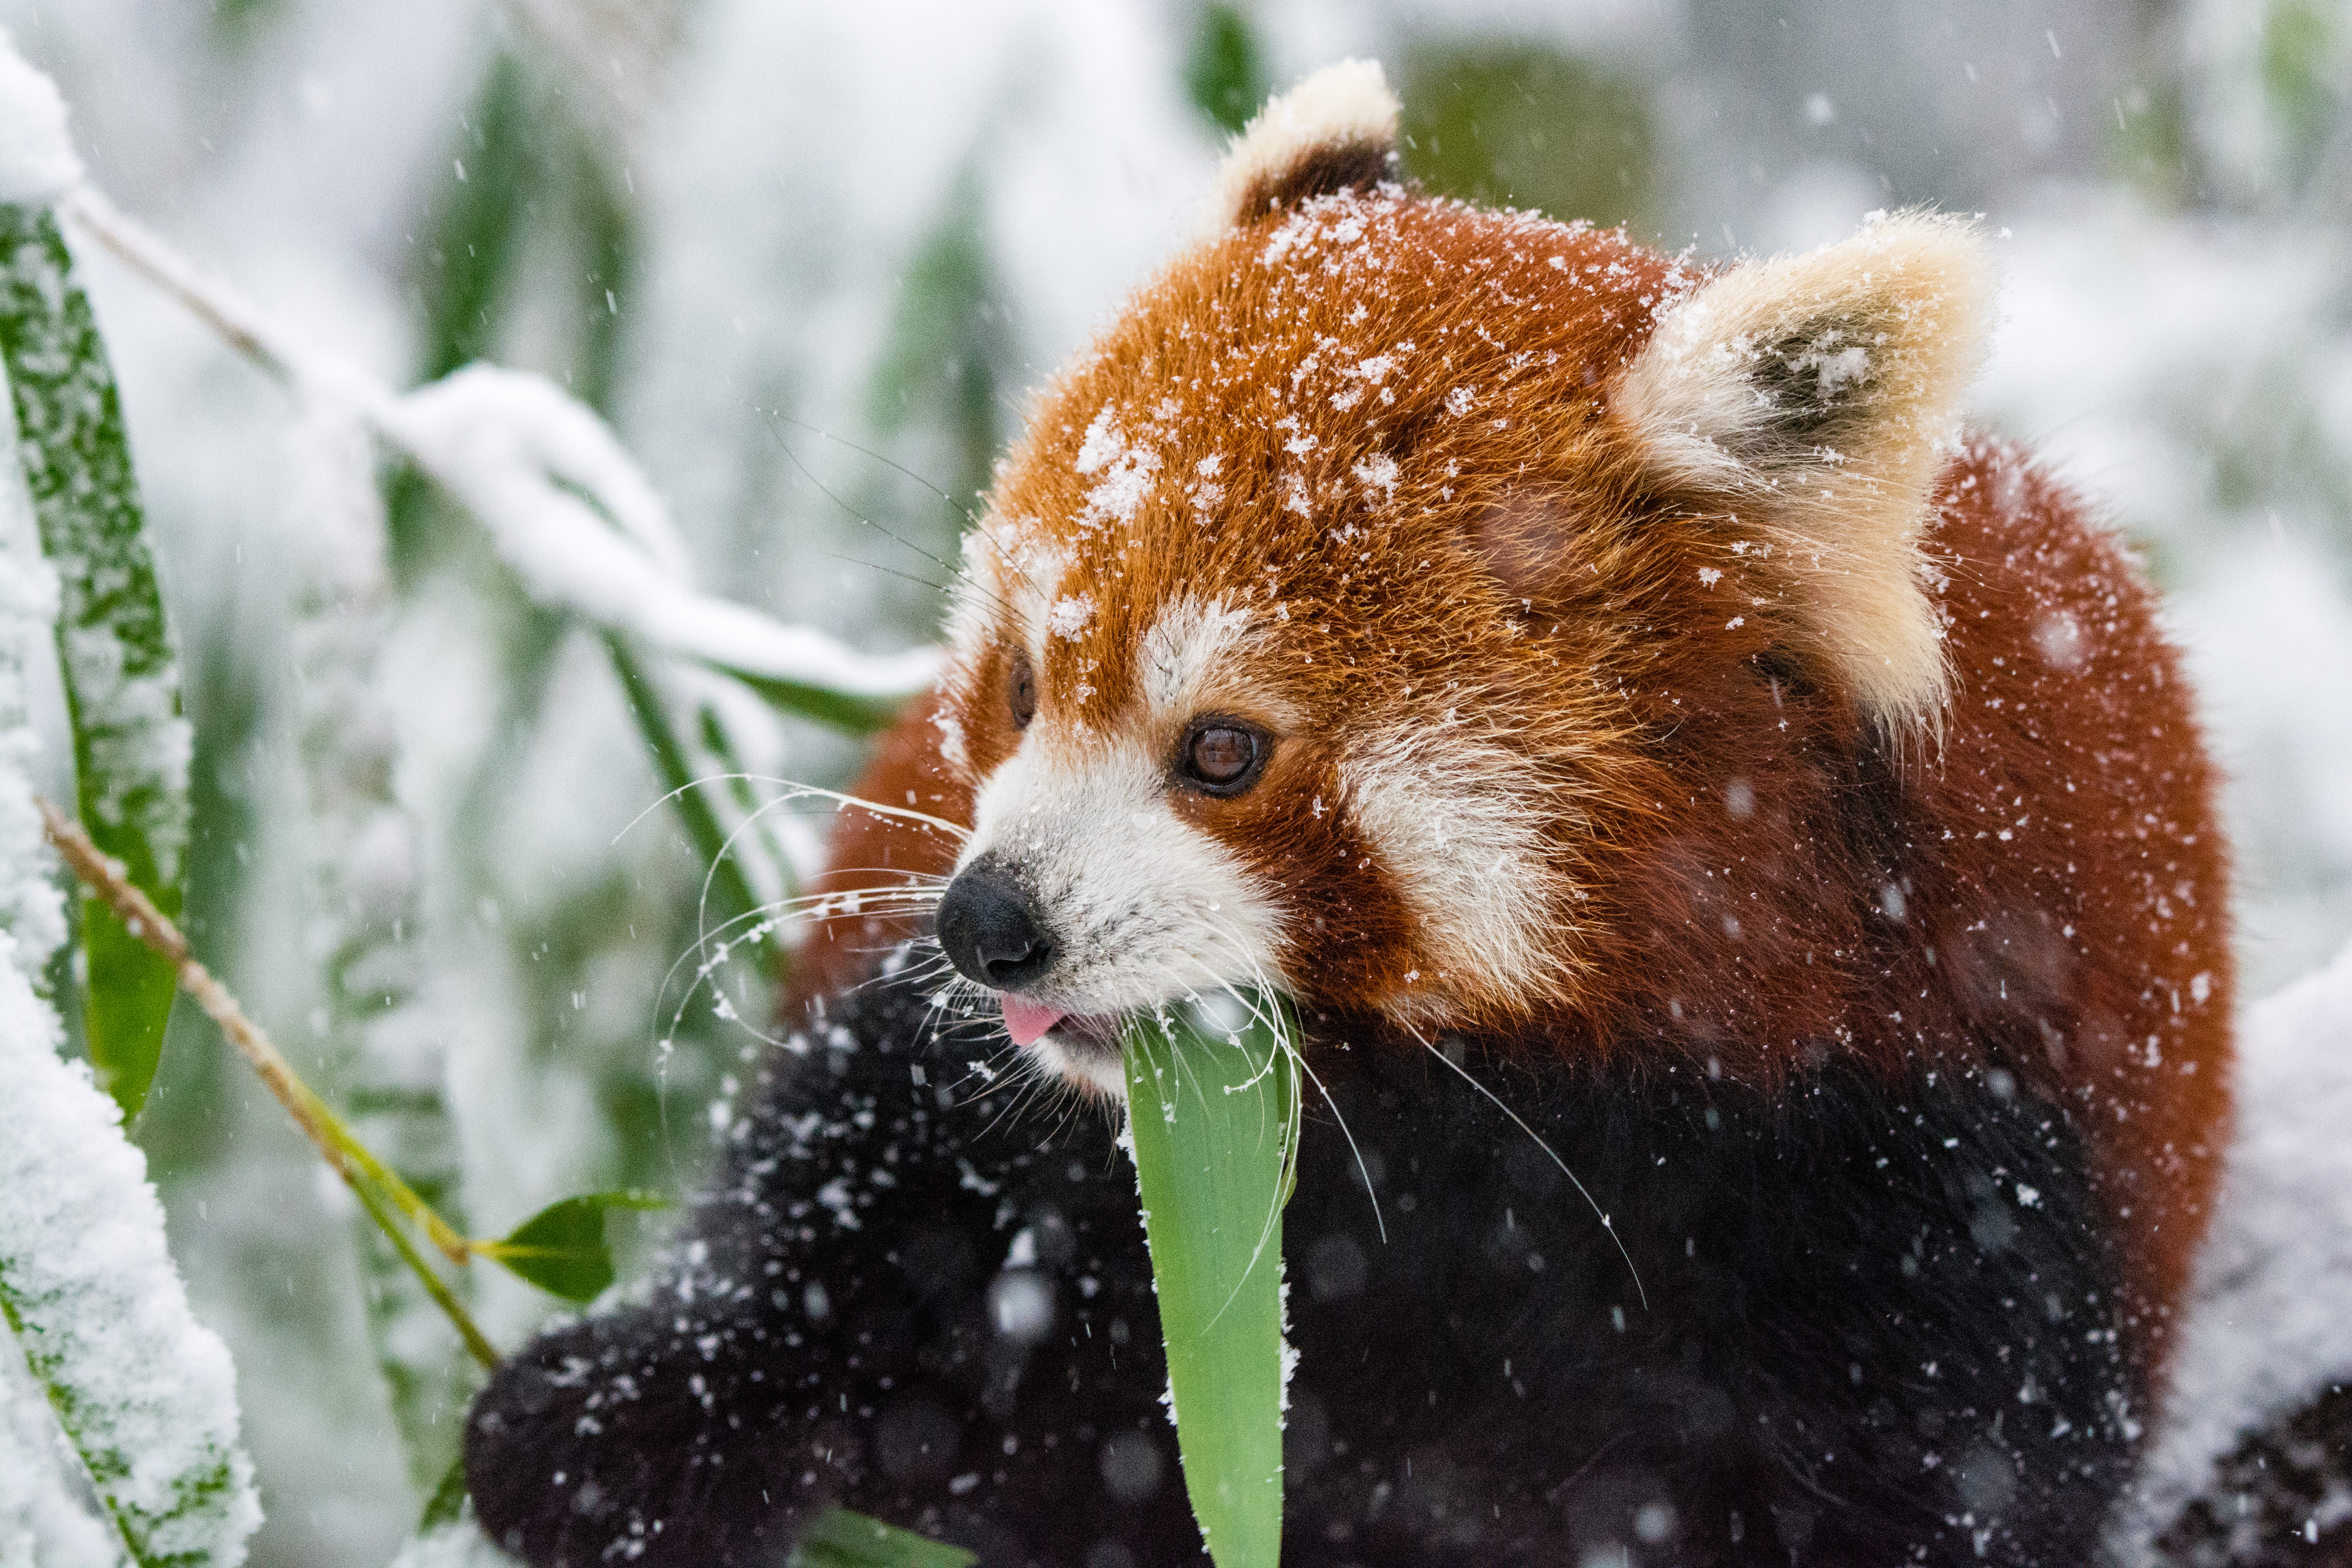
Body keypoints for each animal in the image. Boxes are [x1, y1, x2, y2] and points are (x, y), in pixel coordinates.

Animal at [468, 61, 2230, 1568]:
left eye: (1221, 751)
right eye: (1022, 686)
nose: (989, 923)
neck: (1462, 1132)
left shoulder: (1925, 1174)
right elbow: (862, 1202)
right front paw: (622, 1418)